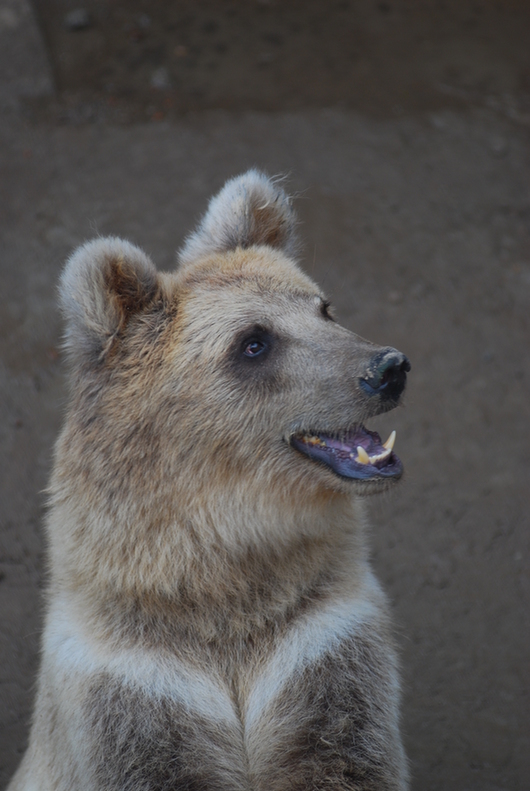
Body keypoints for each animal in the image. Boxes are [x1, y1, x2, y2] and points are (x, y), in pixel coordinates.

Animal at [9, 170, 412, 788]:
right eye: (254, 342)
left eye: (324, 308)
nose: (387, 368)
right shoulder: (132, 680)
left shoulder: (321, 641)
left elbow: (345, 749)